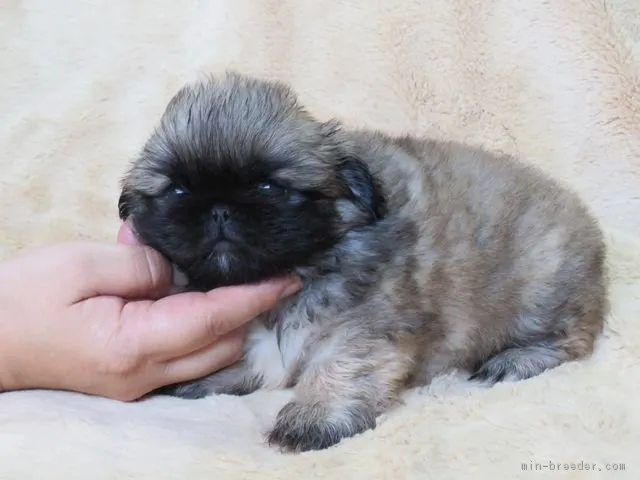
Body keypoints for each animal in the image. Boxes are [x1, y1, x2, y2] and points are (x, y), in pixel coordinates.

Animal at [119, 72, 604, 454]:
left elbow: (339, 367)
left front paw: (315, 416)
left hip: (540, 290)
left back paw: (517, 360)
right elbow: (258, 358)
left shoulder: (364, 328)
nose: (219, 209)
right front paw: (212, 375)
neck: (310, 263)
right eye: (179, 190)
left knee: (571, 338)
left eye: (269, 187)